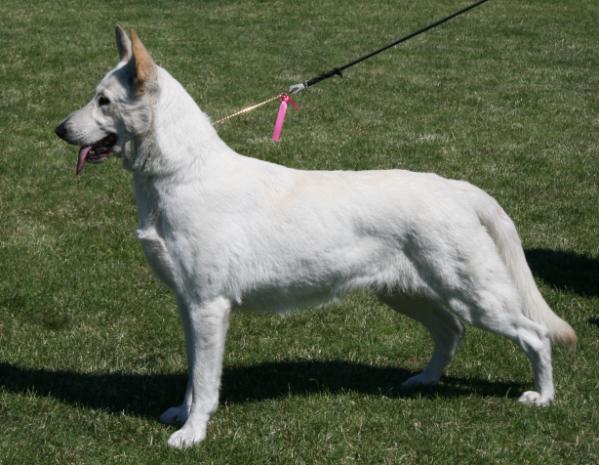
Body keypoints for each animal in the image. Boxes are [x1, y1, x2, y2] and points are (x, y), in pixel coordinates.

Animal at [55, 27, 576, 448]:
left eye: (104, 101)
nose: (59, 129)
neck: (180, 174)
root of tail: (456, 187)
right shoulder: (189, 305)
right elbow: (191, 377)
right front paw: (181, 415)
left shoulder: (208, 305)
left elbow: (204, 381)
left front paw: (191, 434)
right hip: (406, 293)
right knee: (451, 331)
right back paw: (423, 381)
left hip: (476, 295)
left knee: (533, 336)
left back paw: (542, 396)